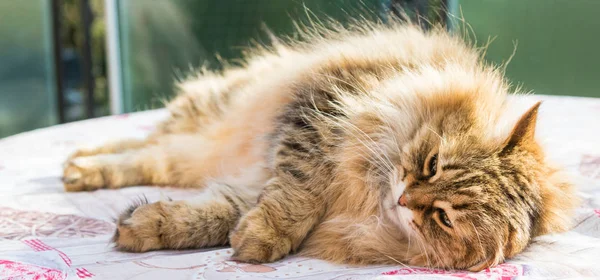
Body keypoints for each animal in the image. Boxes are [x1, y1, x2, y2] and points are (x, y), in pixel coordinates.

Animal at [61, 21, 576, 272]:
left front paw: (147, 227)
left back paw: (81, 170)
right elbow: (298, 197)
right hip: (210, 112)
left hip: (188, 155)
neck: (365, 199)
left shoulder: (256, 183)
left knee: (148, 156)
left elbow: (214, 216)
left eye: (443, 218)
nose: (405, 198)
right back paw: (75, 165)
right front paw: (264, 238)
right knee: (142, 140)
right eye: (431, 164)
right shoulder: (317, 116)